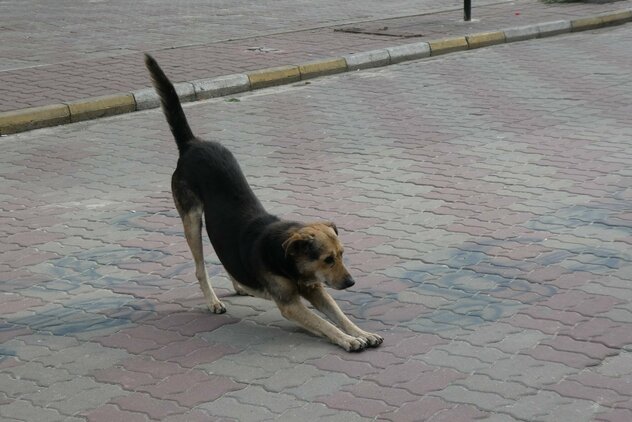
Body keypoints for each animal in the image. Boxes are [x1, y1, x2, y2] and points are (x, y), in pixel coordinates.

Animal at [144, 54, 380, 352]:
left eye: (342, 254)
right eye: (327, 259)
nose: (351, 281)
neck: (288, 260)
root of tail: (191, 143)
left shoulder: (316, 289)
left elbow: (340, 315)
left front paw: (362, 332)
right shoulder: (290, 304)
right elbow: (326, 324)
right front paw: (349, 340)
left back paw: (240, 284)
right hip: (191, 220)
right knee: (199, 268)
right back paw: (213, 301)